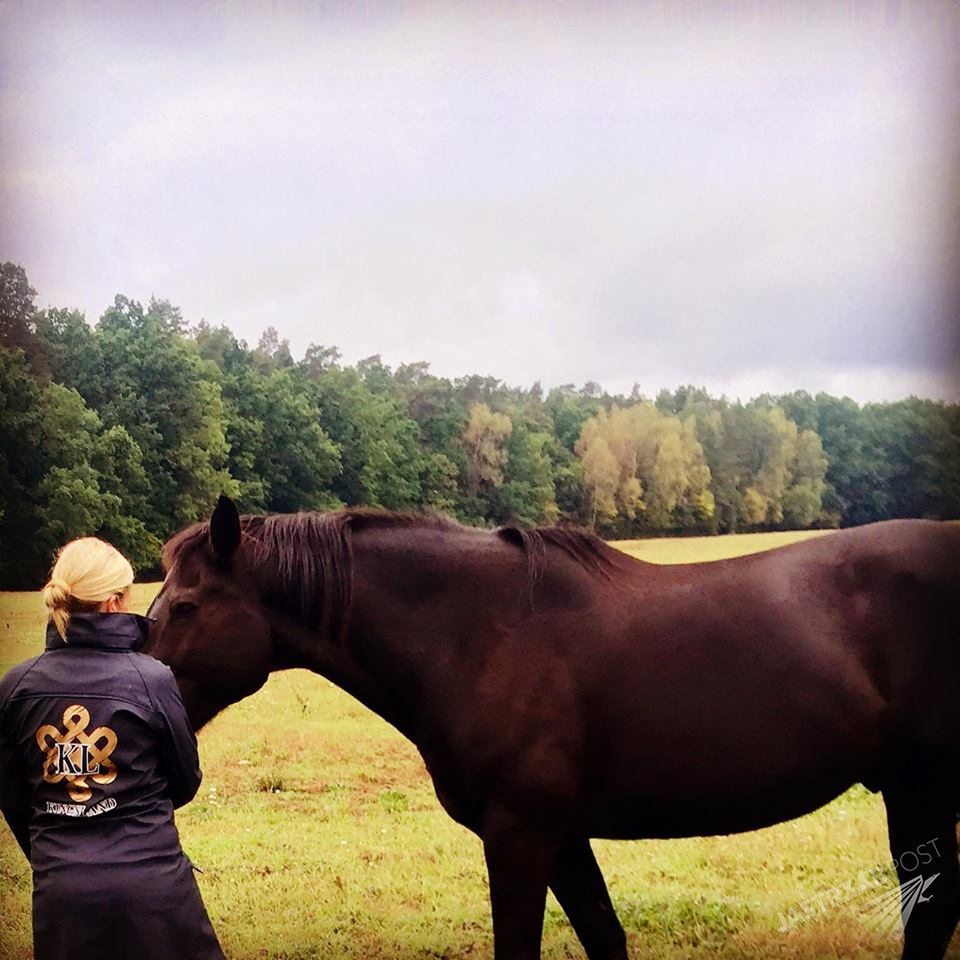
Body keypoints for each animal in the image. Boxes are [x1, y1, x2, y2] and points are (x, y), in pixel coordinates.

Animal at [146, 496, 960, 960]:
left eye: (185, 606)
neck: (483, 635)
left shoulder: (521, 836)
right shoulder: (563, 838)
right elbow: (605, 938)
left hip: (922, 786)